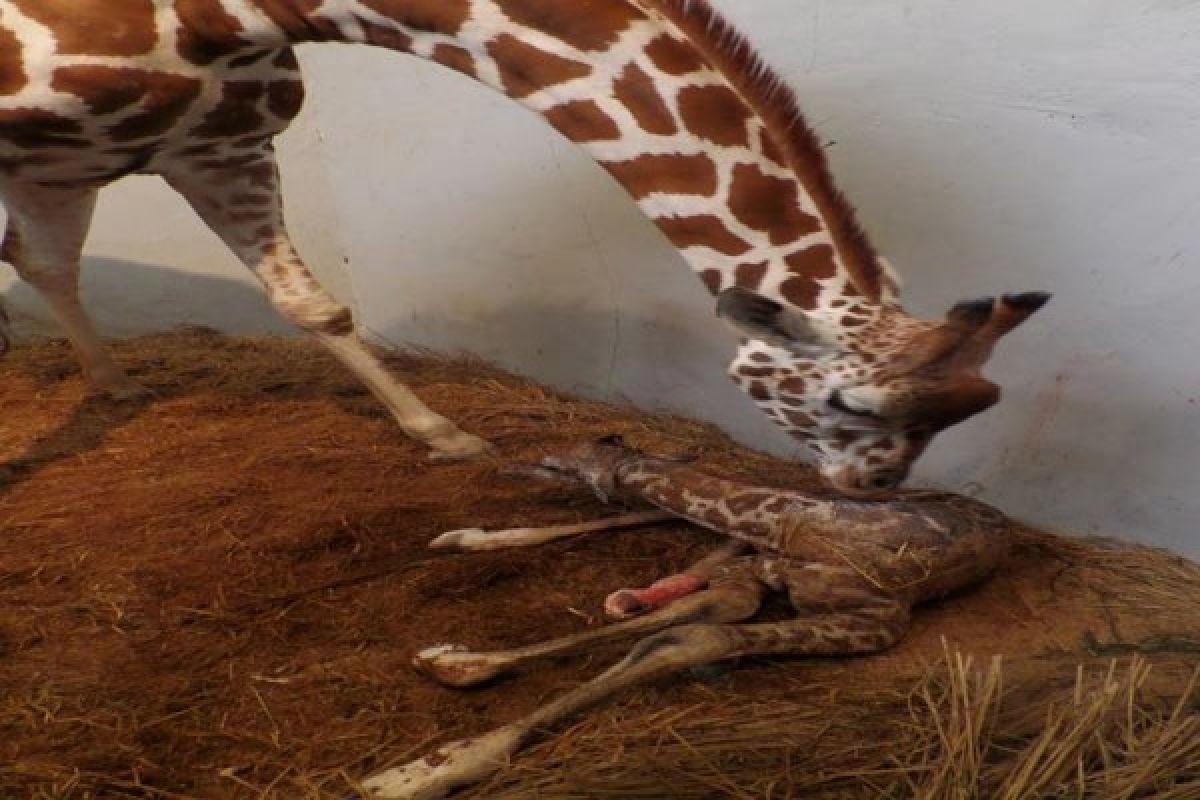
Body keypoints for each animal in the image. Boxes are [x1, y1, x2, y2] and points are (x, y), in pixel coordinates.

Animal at [0, 0, 1051, 491]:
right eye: (849, 404)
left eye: (979, 405)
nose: (874, 488)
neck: (237, 11)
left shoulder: (214, 143)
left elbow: (315, 304)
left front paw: (445, 435)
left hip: (67, 170)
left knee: (43, 261)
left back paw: (115, 385)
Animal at [362, 438, 1012, 800]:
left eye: (564, 459)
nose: (516, 464)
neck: (794, 525)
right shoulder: (759, 565)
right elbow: (692, 612)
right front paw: (458, 664)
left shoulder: (873, 621)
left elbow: (693, 631)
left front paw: (419, 771)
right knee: (649, 521)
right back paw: (466, 539)